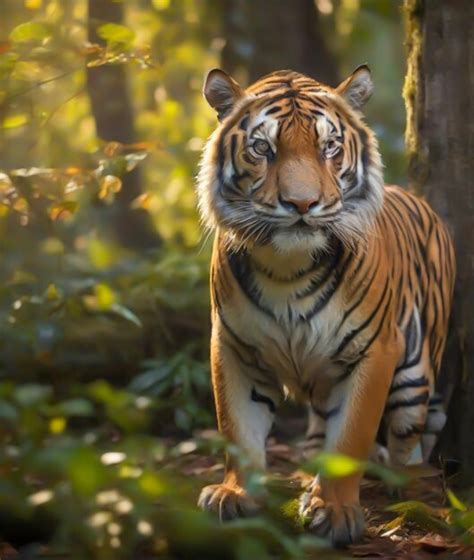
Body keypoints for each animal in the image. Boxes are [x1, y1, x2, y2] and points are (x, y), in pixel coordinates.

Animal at [195, 66, 456, 548]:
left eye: (329, 147)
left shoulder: (374, 351)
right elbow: (237, 428)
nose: (301, 203)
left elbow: (351, 436)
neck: (286, 270)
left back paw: (408, 487)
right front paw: (235, 494)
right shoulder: (234, 347)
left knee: (409, 438)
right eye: (263, 148)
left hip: (415, 375)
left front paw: (334, 512)